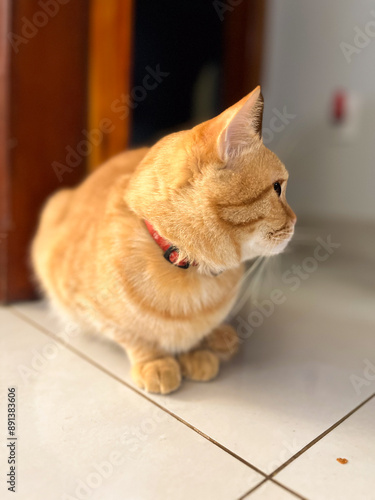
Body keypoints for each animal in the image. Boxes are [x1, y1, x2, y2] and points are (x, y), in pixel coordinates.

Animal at [31, 87, 296, 394]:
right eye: (277, 188)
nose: (296, 220)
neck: (187, 267)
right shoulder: (87, 305)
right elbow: (134, 337)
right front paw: (155, 361)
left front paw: (196, 350)